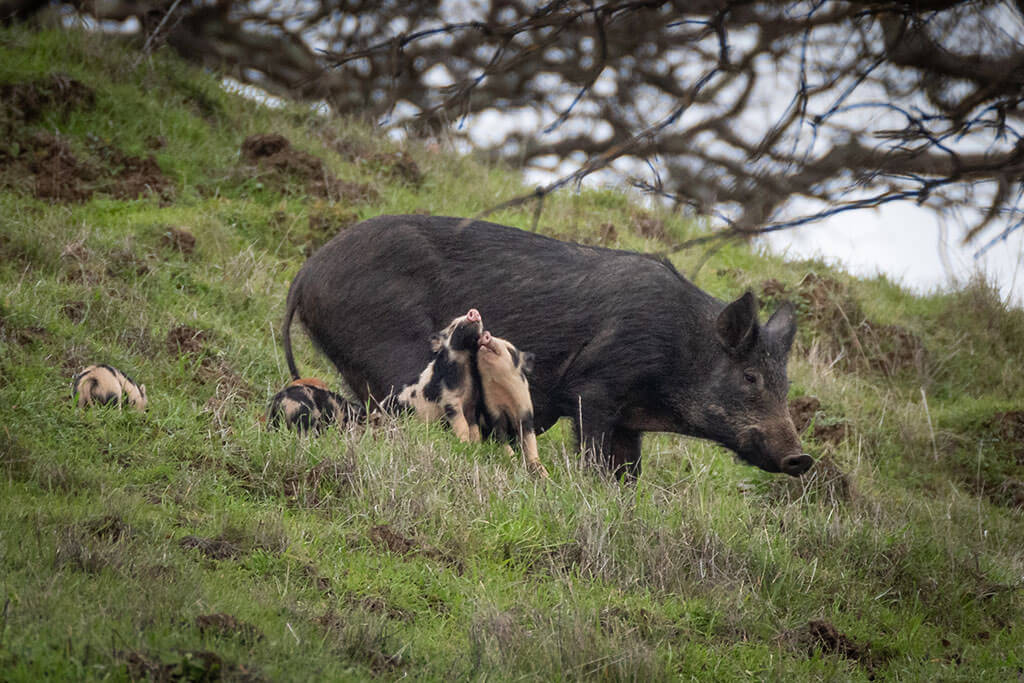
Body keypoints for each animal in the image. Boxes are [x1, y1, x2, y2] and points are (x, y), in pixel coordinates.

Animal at [397, 309, 484, 442]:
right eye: (452, 326)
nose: (473, 311)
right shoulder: (448, 400)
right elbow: (462, 425)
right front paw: (464, 443)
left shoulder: (472, 402)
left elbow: (474, 427)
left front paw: (476, 444)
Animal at [475, 330, 548, 478]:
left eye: (510, 350)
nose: (486, 333)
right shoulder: (492, 412)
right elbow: (500, 437)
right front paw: (514, 463)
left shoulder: (525, 413)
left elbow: (530, 442)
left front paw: (544, 474)